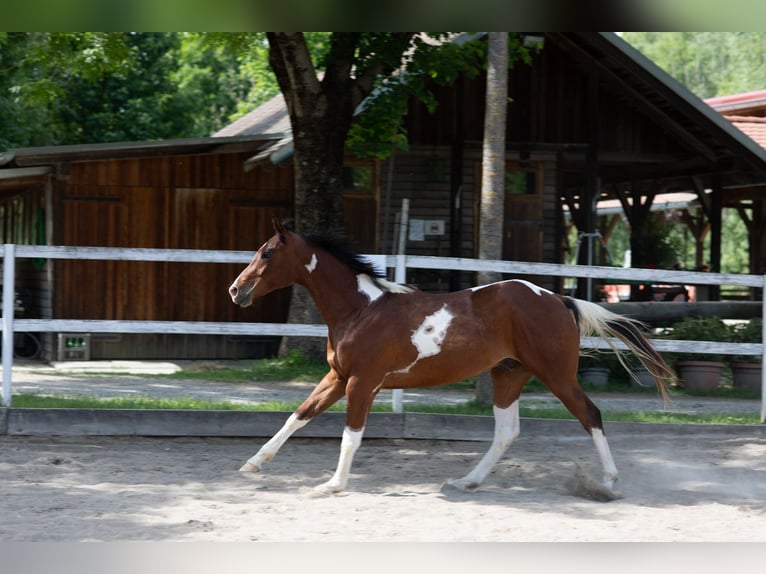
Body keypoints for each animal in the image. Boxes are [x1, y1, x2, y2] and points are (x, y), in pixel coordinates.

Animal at [229, 218, 675, 496]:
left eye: (267, 253)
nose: (236, 290)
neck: (361, 310)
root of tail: (559, 299)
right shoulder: (338, 377)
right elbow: (299, 414)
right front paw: (252, 464)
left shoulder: (363, 382)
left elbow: (350, 436)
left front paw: (331, 485)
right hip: (508, 374)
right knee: (507, 432)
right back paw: (465, 482)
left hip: (556, 374)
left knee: (590, 415)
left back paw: (609, 482)